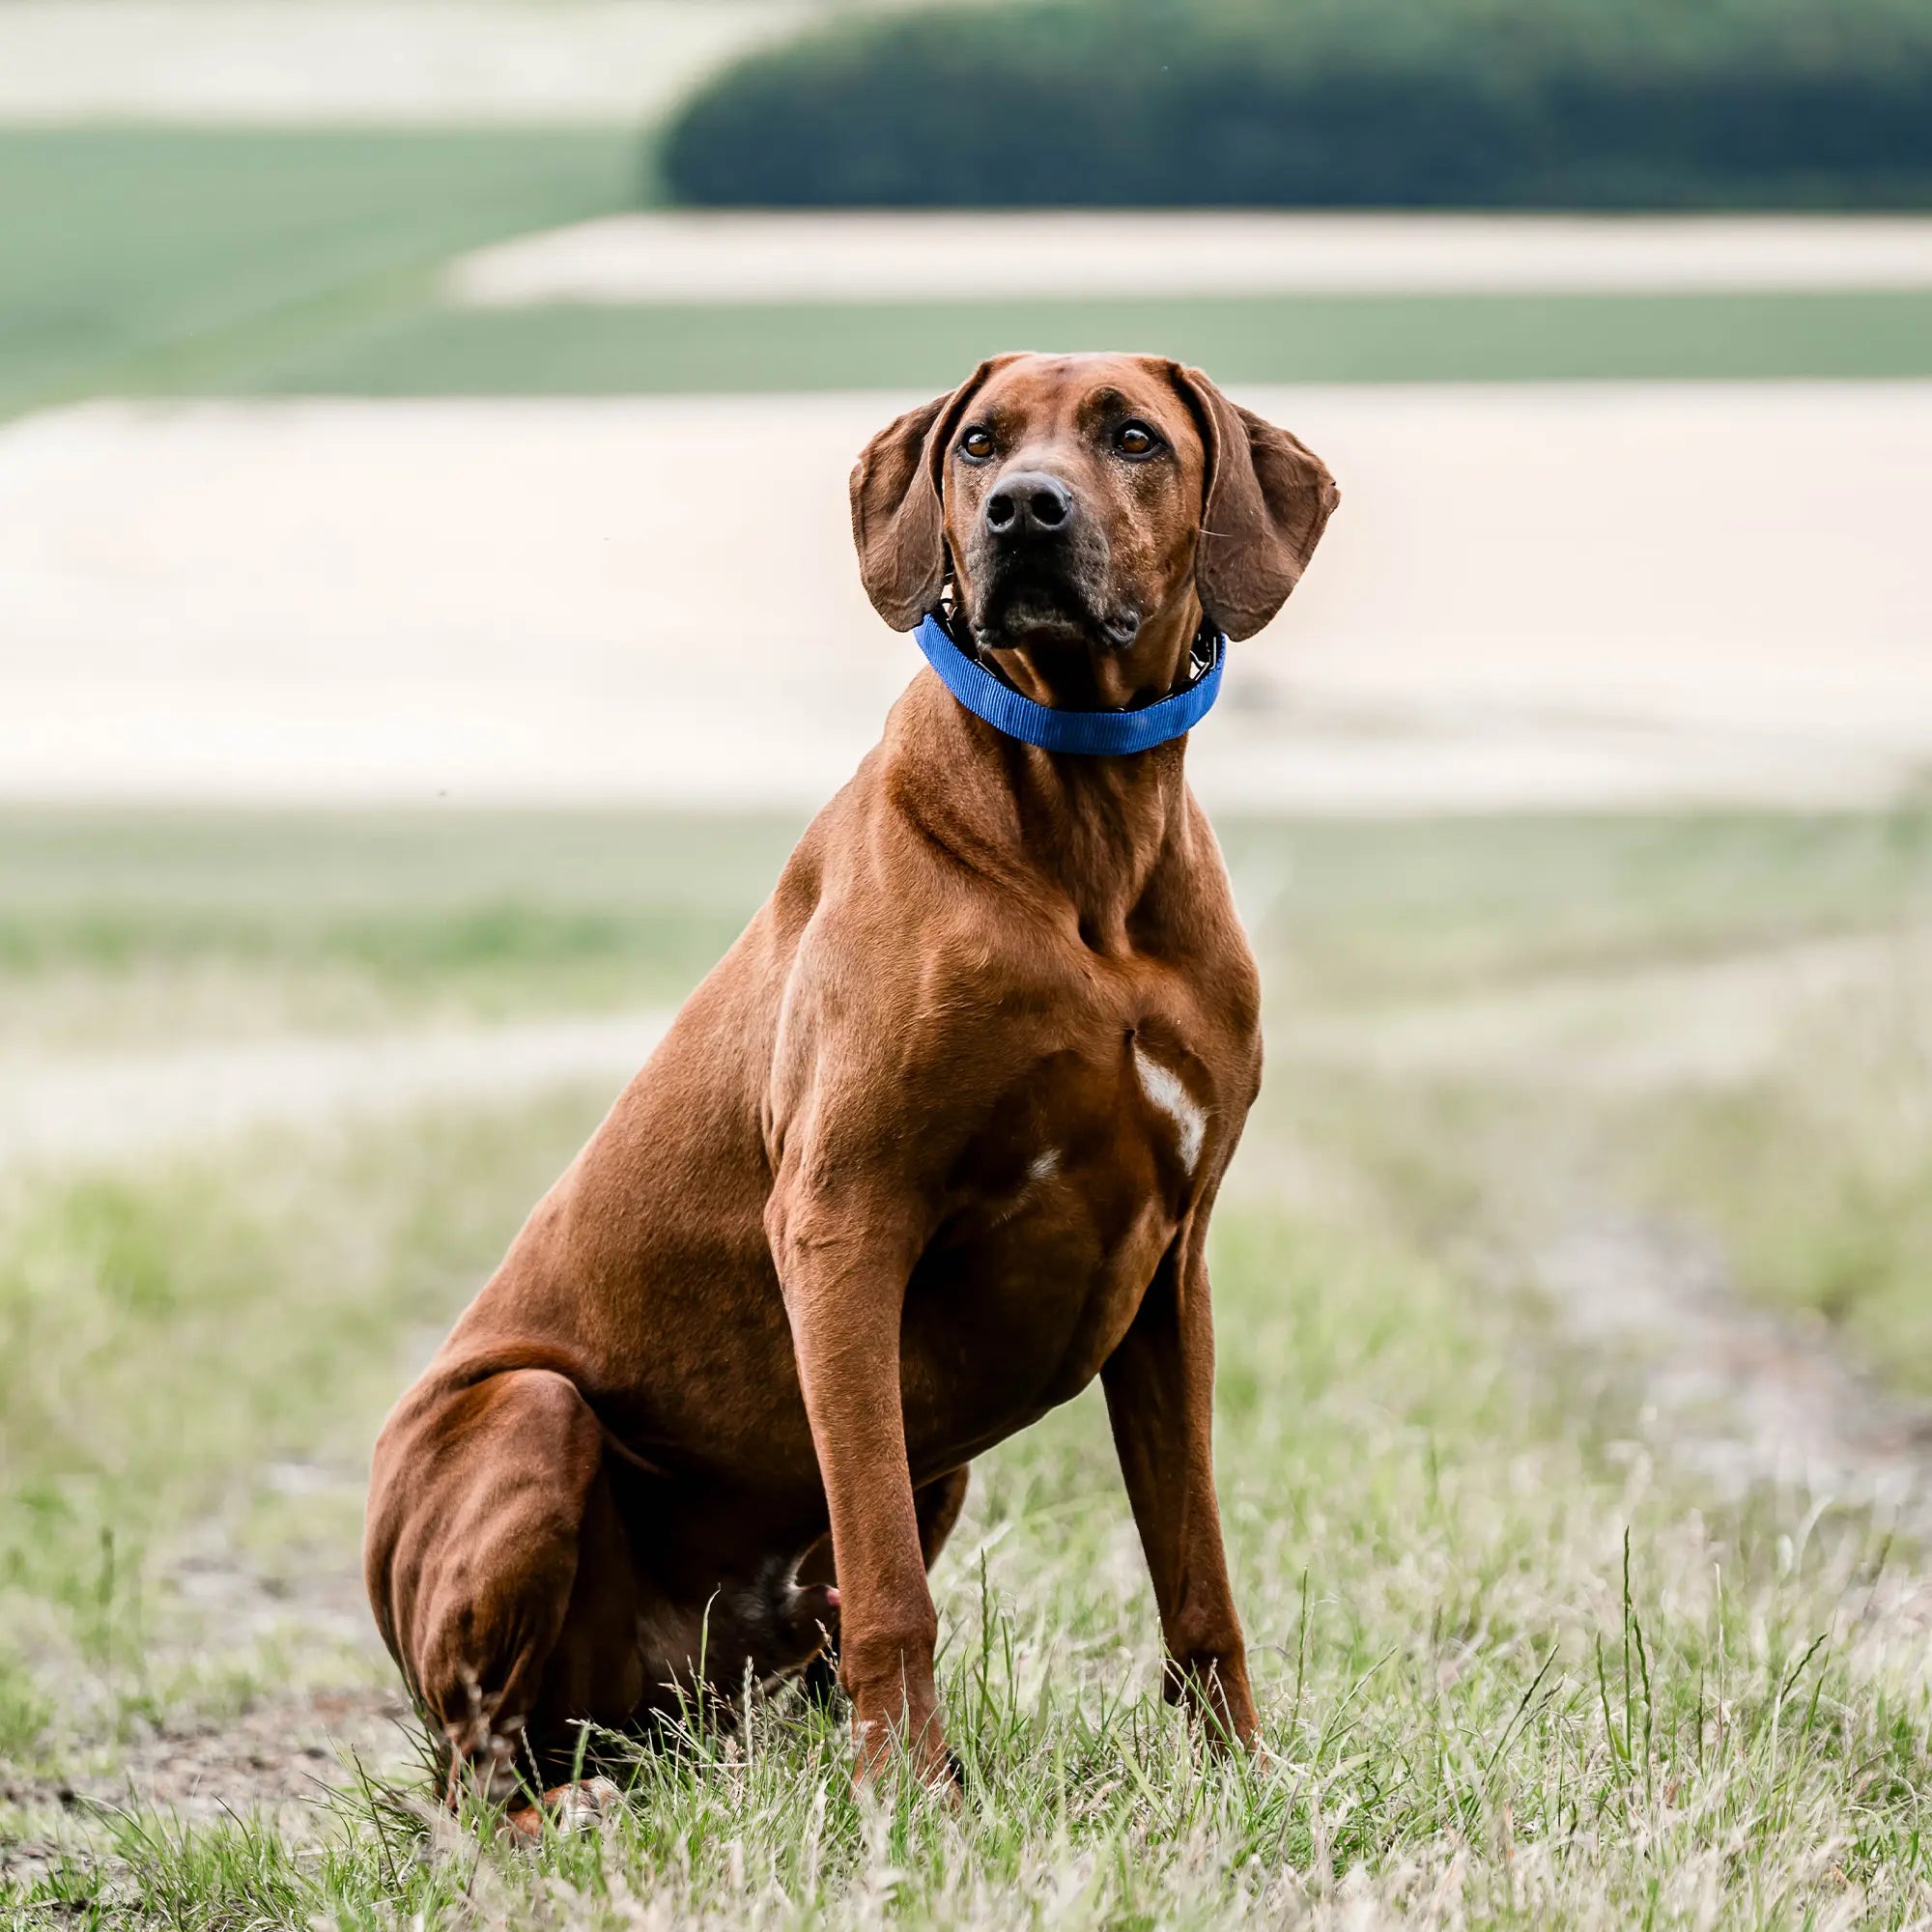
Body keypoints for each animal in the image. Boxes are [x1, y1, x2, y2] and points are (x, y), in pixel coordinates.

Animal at [363, 352, 1337, 1824]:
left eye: (1133, 437)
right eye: (979, 442)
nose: (1022, 510)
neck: (1084, 817)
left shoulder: (1173, 1269)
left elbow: (1197, 1570)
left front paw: (1243, 1773)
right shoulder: (841, 1221)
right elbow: (889, 1586)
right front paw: (906, 1797)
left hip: (904, 1494)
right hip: (532, 1424)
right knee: (480, 1765)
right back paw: (558, 1807)